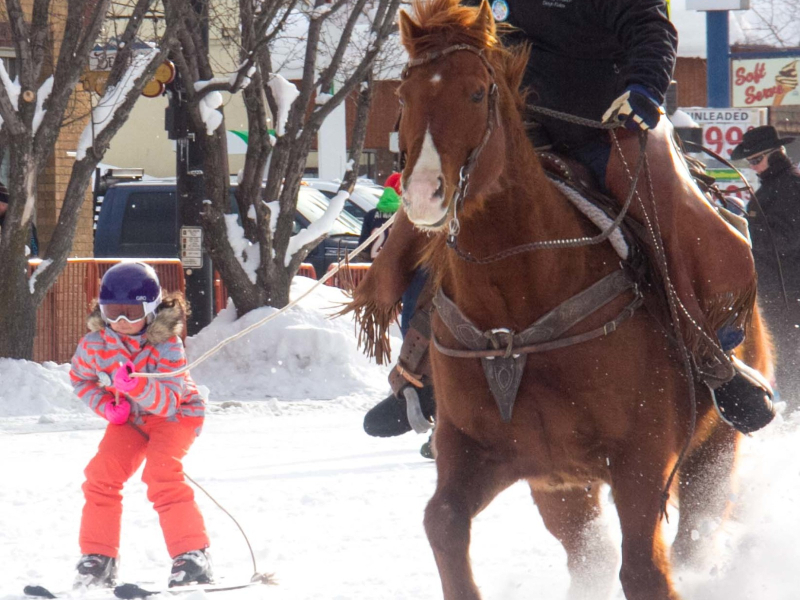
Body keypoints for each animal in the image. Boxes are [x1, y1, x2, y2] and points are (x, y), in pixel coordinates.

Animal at [390, 1, 772, 600]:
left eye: (476, 92)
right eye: (404, 95)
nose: (425, 193)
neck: (516, 307)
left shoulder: (642, 459)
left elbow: (645, 571)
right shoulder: (476, 450)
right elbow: (443, 522)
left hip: (712, 452)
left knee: (691, 536)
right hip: (562, 488)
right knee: (588, 554)